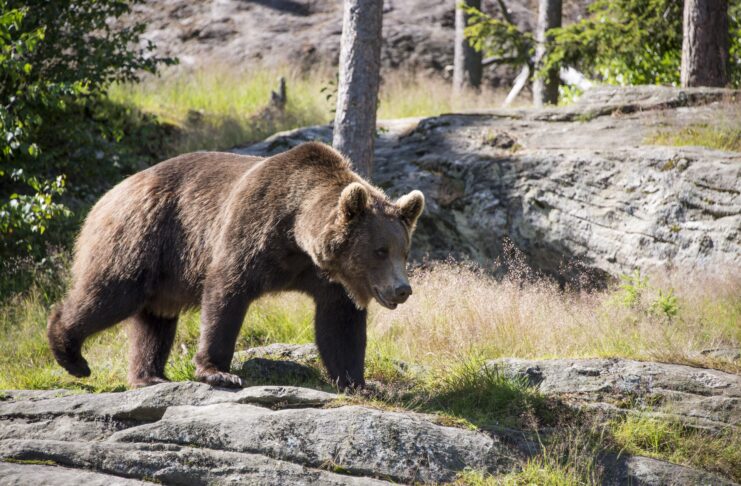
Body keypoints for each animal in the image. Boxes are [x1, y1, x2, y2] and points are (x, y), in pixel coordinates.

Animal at [47, 142, 425, 389]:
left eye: (404, 250)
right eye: (380, 250)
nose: (402, 290)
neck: (296, 234)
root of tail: (110, 193)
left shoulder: (326, 276)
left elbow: (340, 323)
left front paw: (358, 382)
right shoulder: (251, 230)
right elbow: (226, 293)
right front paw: (219, 371)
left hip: (163, 270)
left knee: (155, 319)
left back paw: (149, 375)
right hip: (142, 237)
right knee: (111, 293)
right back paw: (71, 354)